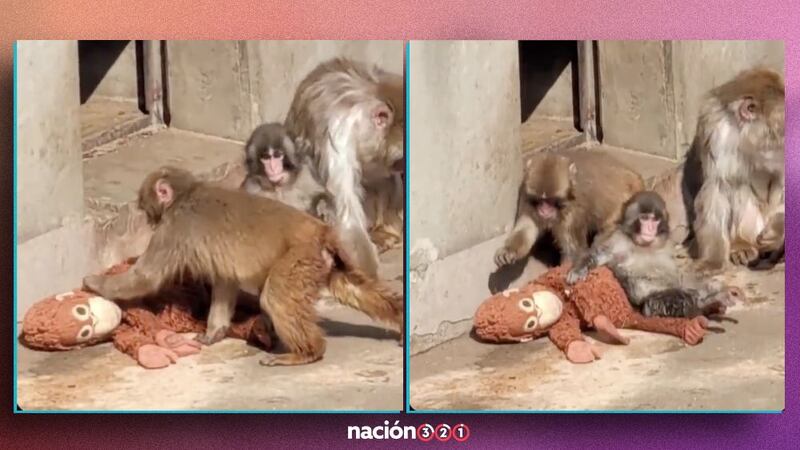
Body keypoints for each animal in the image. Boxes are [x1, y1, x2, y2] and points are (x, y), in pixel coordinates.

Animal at [82, 166, 403, 367]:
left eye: (146, 205)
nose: (149, 219)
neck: (187, 193)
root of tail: (321, 231)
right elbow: (224, 282)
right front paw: (215, 331)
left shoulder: (173, 228)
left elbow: (146, 277)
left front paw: (94, 282)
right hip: (322, 262)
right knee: (349, 285)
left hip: (299, 259)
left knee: (275, 298)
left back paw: (307, 353)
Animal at [494, 150, 644, 269]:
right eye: (540, 200)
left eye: (551, 201)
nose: (544, 211)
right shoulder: (526, 199)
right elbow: (527, 228)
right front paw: (507, 251)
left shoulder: (573, 212)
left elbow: (572, 249)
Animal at [566, 191, 742, 322]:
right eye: (644, 218)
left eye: (655, 220)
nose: (650, 229)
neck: (645, 245)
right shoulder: (617, 240)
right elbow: (598, 254)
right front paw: (578, 270)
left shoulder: (670, 244)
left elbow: (682, 272)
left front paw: (714, 286)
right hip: (652, 301)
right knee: (672, 299)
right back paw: (708, 302)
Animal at [652, 68, 785, 272]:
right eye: (781, 128)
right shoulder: (716, 129)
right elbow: (719, 185)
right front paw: (712, 260)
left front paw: (777, 231)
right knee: (738, 185)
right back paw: (741, 244)